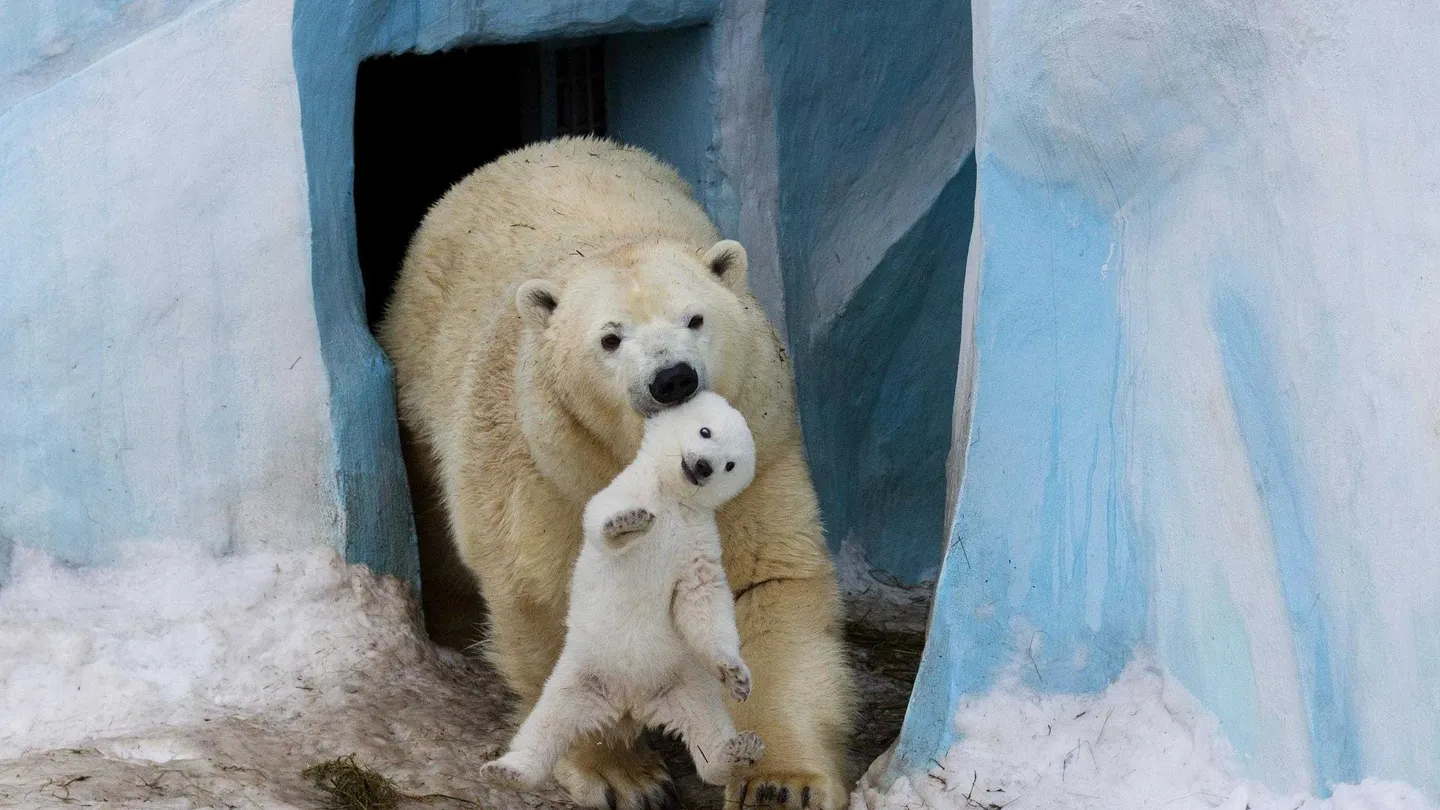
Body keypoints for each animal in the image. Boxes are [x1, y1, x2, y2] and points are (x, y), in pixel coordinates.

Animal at [380, 135, 852, 801]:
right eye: (610, 339)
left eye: (695, 318)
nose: (673, 378)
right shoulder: (551, 473)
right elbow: (551, 598)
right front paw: (623, 777)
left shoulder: (761, 450)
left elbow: (763, 584)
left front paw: (783, 786)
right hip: (421, 378)